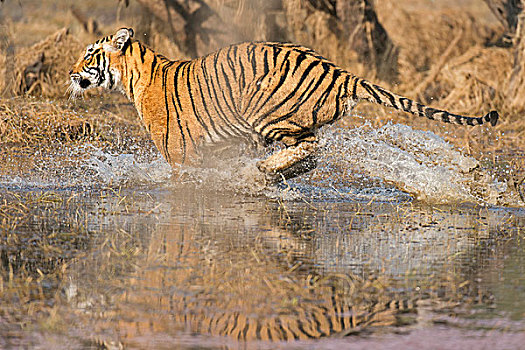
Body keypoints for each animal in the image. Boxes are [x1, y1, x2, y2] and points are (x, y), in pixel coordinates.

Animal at [67, 26, 498, 180]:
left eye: (89, 54)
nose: (70, 73)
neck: (136, 75)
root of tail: (340, 71)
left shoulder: (179, 152)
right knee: (311, 154)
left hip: (267, 113)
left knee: (310, 148)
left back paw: (267, 170)